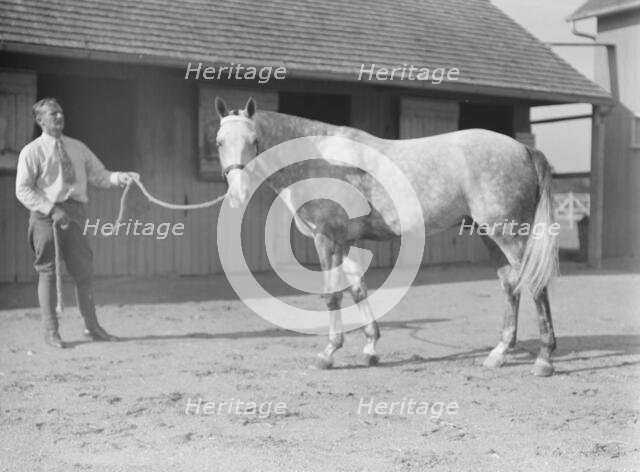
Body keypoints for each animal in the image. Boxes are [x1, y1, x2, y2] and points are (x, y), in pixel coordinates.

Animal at [214, 96, 559, 377]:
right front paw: (370, 348)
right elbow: (358, 289)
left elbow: (332, 295)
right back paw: (499, 354)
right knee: (510, 285)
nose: (237, 192)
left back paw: (543, 359)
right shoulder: (346, 241)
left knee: (534, 284)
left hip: (510, 234)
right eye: (219, 142)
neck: (320, 160)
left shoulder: (326, 239)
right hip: (489, 234)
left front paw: (328, 354)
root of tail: (523, 148)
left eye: (254, 139)